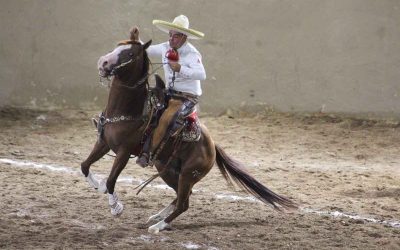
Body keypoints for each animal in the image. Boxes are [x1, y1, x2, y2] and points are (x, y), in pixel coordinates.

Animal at [81, 28, 296, 233]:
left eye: (130, 54)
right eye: (118, 46)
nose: (103, 62)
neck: (128, 110)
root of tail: (212, 146)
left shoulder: (124, 152)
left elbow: (111, 180)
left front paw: (116, 207)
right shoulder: (103, 143)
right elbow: (84, 166)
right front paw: (97, 185)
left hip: (187, 174)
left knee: (184, 203)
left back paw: (158, 226)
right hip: (167, 169)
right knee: (182, 196)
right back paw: (157, 217)